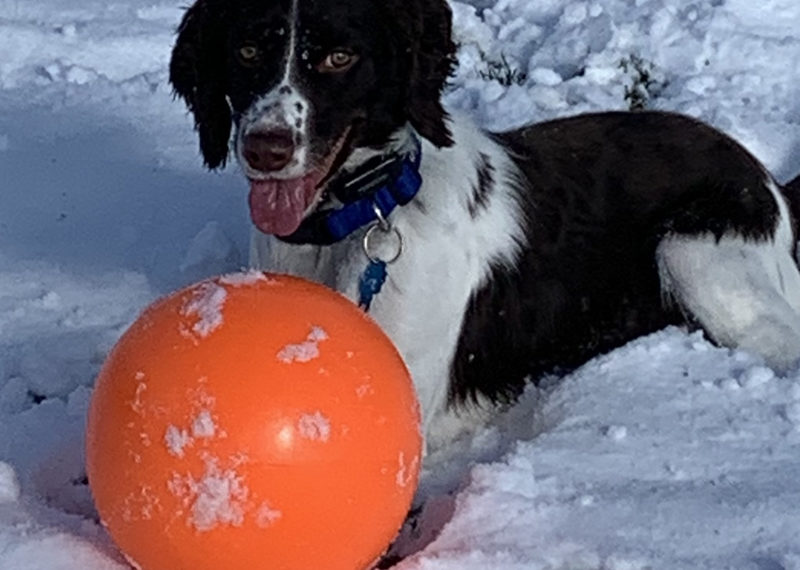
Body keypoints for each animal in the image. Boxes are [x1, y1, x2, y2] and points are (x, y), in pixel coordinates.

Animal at [167, 0, 800, 444]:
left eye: (339, 58)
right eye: (248, 51)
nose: (265, 148)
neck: (356, 220)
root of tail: (766, 177)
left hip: (696, 254)